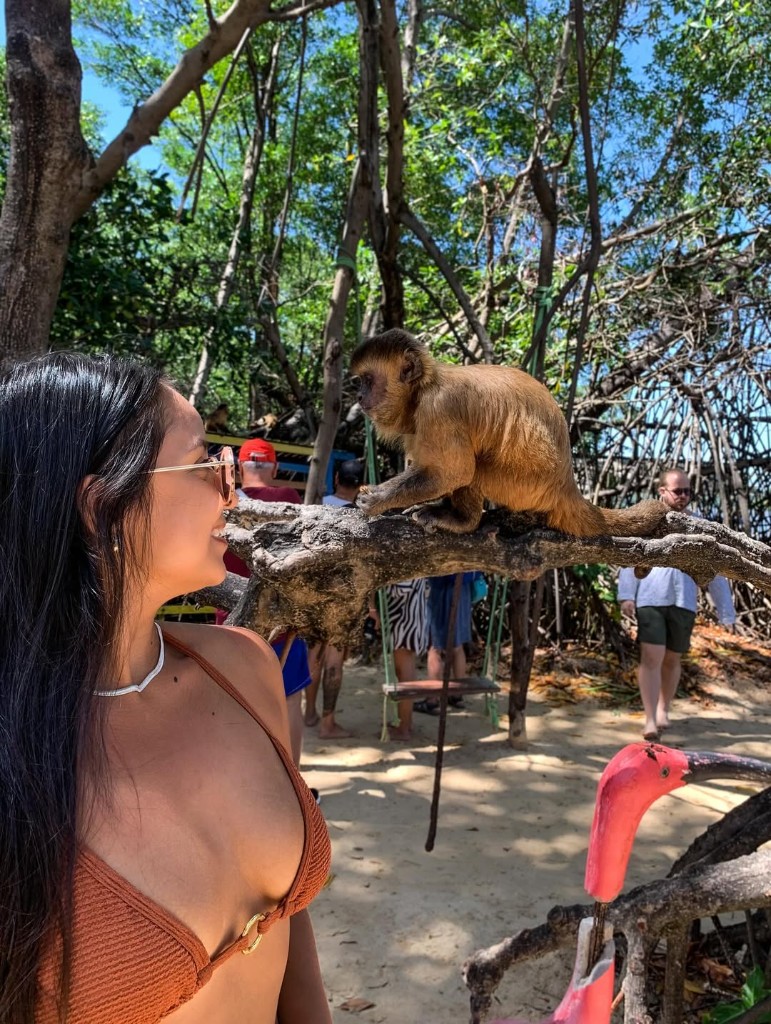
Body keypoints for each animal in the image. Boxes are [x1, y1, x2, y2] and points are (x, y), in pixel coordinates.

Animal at [349, 329, 668, 538]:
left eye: (368, 381)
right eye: (359, 383)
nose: (360, 397)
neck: (424, 387)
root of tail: (567, 485)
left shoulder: (439, 408)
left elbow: (454, 472)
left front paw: (378, 498)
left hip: (525, 485)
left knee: (475, 469)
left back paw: (462, 520)